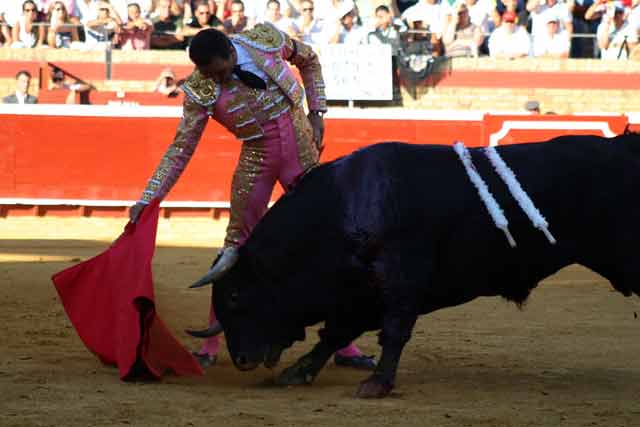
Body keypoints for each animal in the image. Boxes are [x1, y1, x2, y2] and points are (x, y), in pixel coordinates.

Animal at [190, 134, 640, 398]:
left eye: (236, 294)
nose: (242, 358)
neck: (348, 204)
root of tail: (625, 144)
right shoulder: (360, 292)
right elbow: (335, 333)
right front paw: (299, 372)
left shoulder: (400, 278)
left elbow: (393, 330)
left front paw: (376, 384)